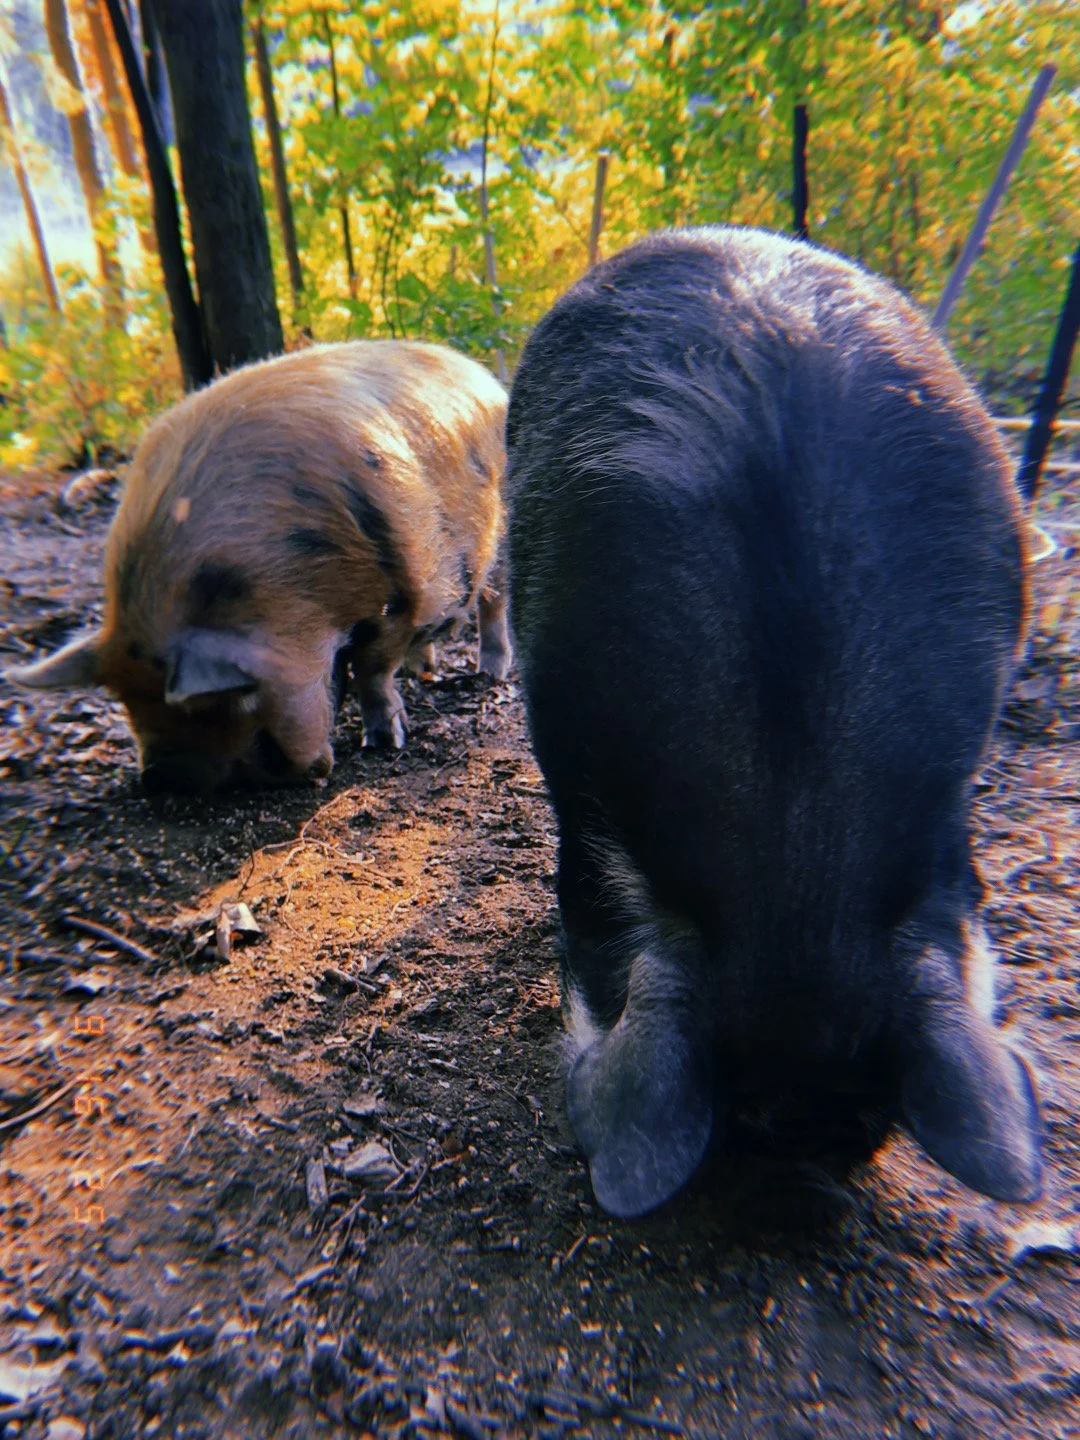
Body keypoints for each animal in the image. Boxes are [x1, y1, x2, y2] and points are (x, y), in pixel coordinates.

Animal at [9, 340, 512, 793]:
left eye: (219, 703)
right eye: (126, 701)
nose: (162, 779)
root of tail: (487, 379)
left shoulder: (401, 588)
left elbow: (372, 669)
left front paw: (385, 743)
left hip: (503, 539)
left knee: (494, 605)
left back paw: (489, 673)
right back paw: (421, 670)